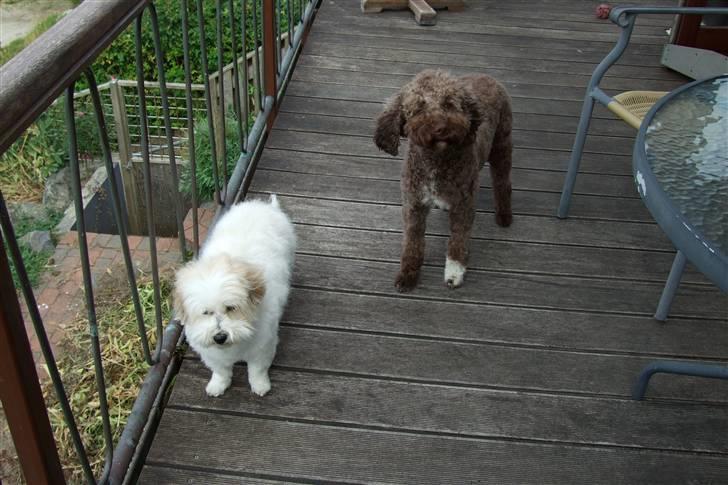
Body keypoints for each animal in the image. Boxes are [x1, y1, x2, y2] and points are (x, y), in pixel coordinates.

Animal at [173, 194, 296, 398]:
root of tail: (261, 205)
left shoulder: (262, 347)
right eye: (206, 312)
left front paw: (260, 385)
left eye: (231, 308)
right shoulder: (211, 354)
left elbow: (256, 370)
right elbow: (220, 371)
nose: (219, 337)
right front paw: (217, 385)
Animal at [376, 68, 512, 292]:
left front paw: (454, 273)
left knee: (503, 183)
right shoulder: (413, 204)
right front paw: (408, 273)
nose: (440, 127)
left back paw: (504, 216)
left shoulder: (463, 205)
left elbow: (458, 240)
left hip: (502, 145)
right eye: (419, 107)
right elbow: (412, 242)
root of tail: (487, 76)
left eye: (449, 103)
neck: (436, 160)